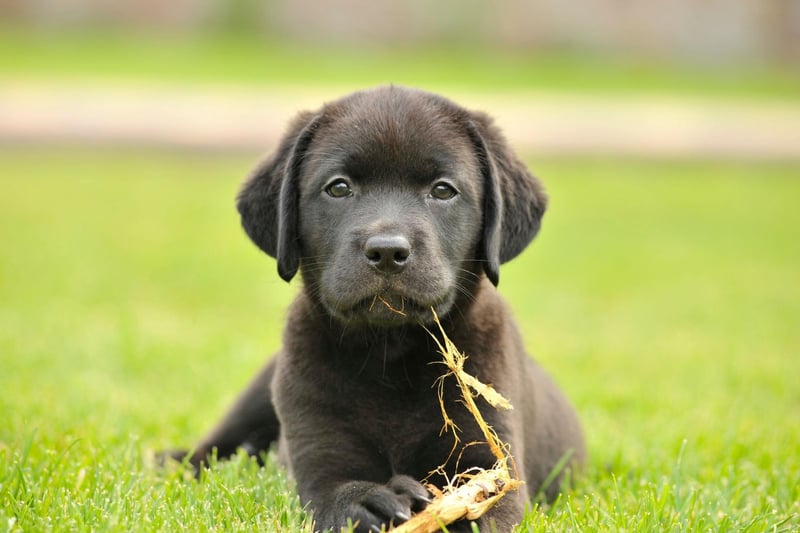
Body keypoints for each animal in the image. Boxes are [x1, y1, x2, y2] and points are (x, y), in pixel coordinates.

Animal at [167, 85, 580, 528]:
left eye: (443, 190)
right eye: (338, 188)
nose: (386, 251)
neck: (390, 353)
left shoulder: (490, 456)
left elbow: (483, 503)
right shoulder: (319, 449)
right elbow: (334, 489)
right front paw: (366, 501)